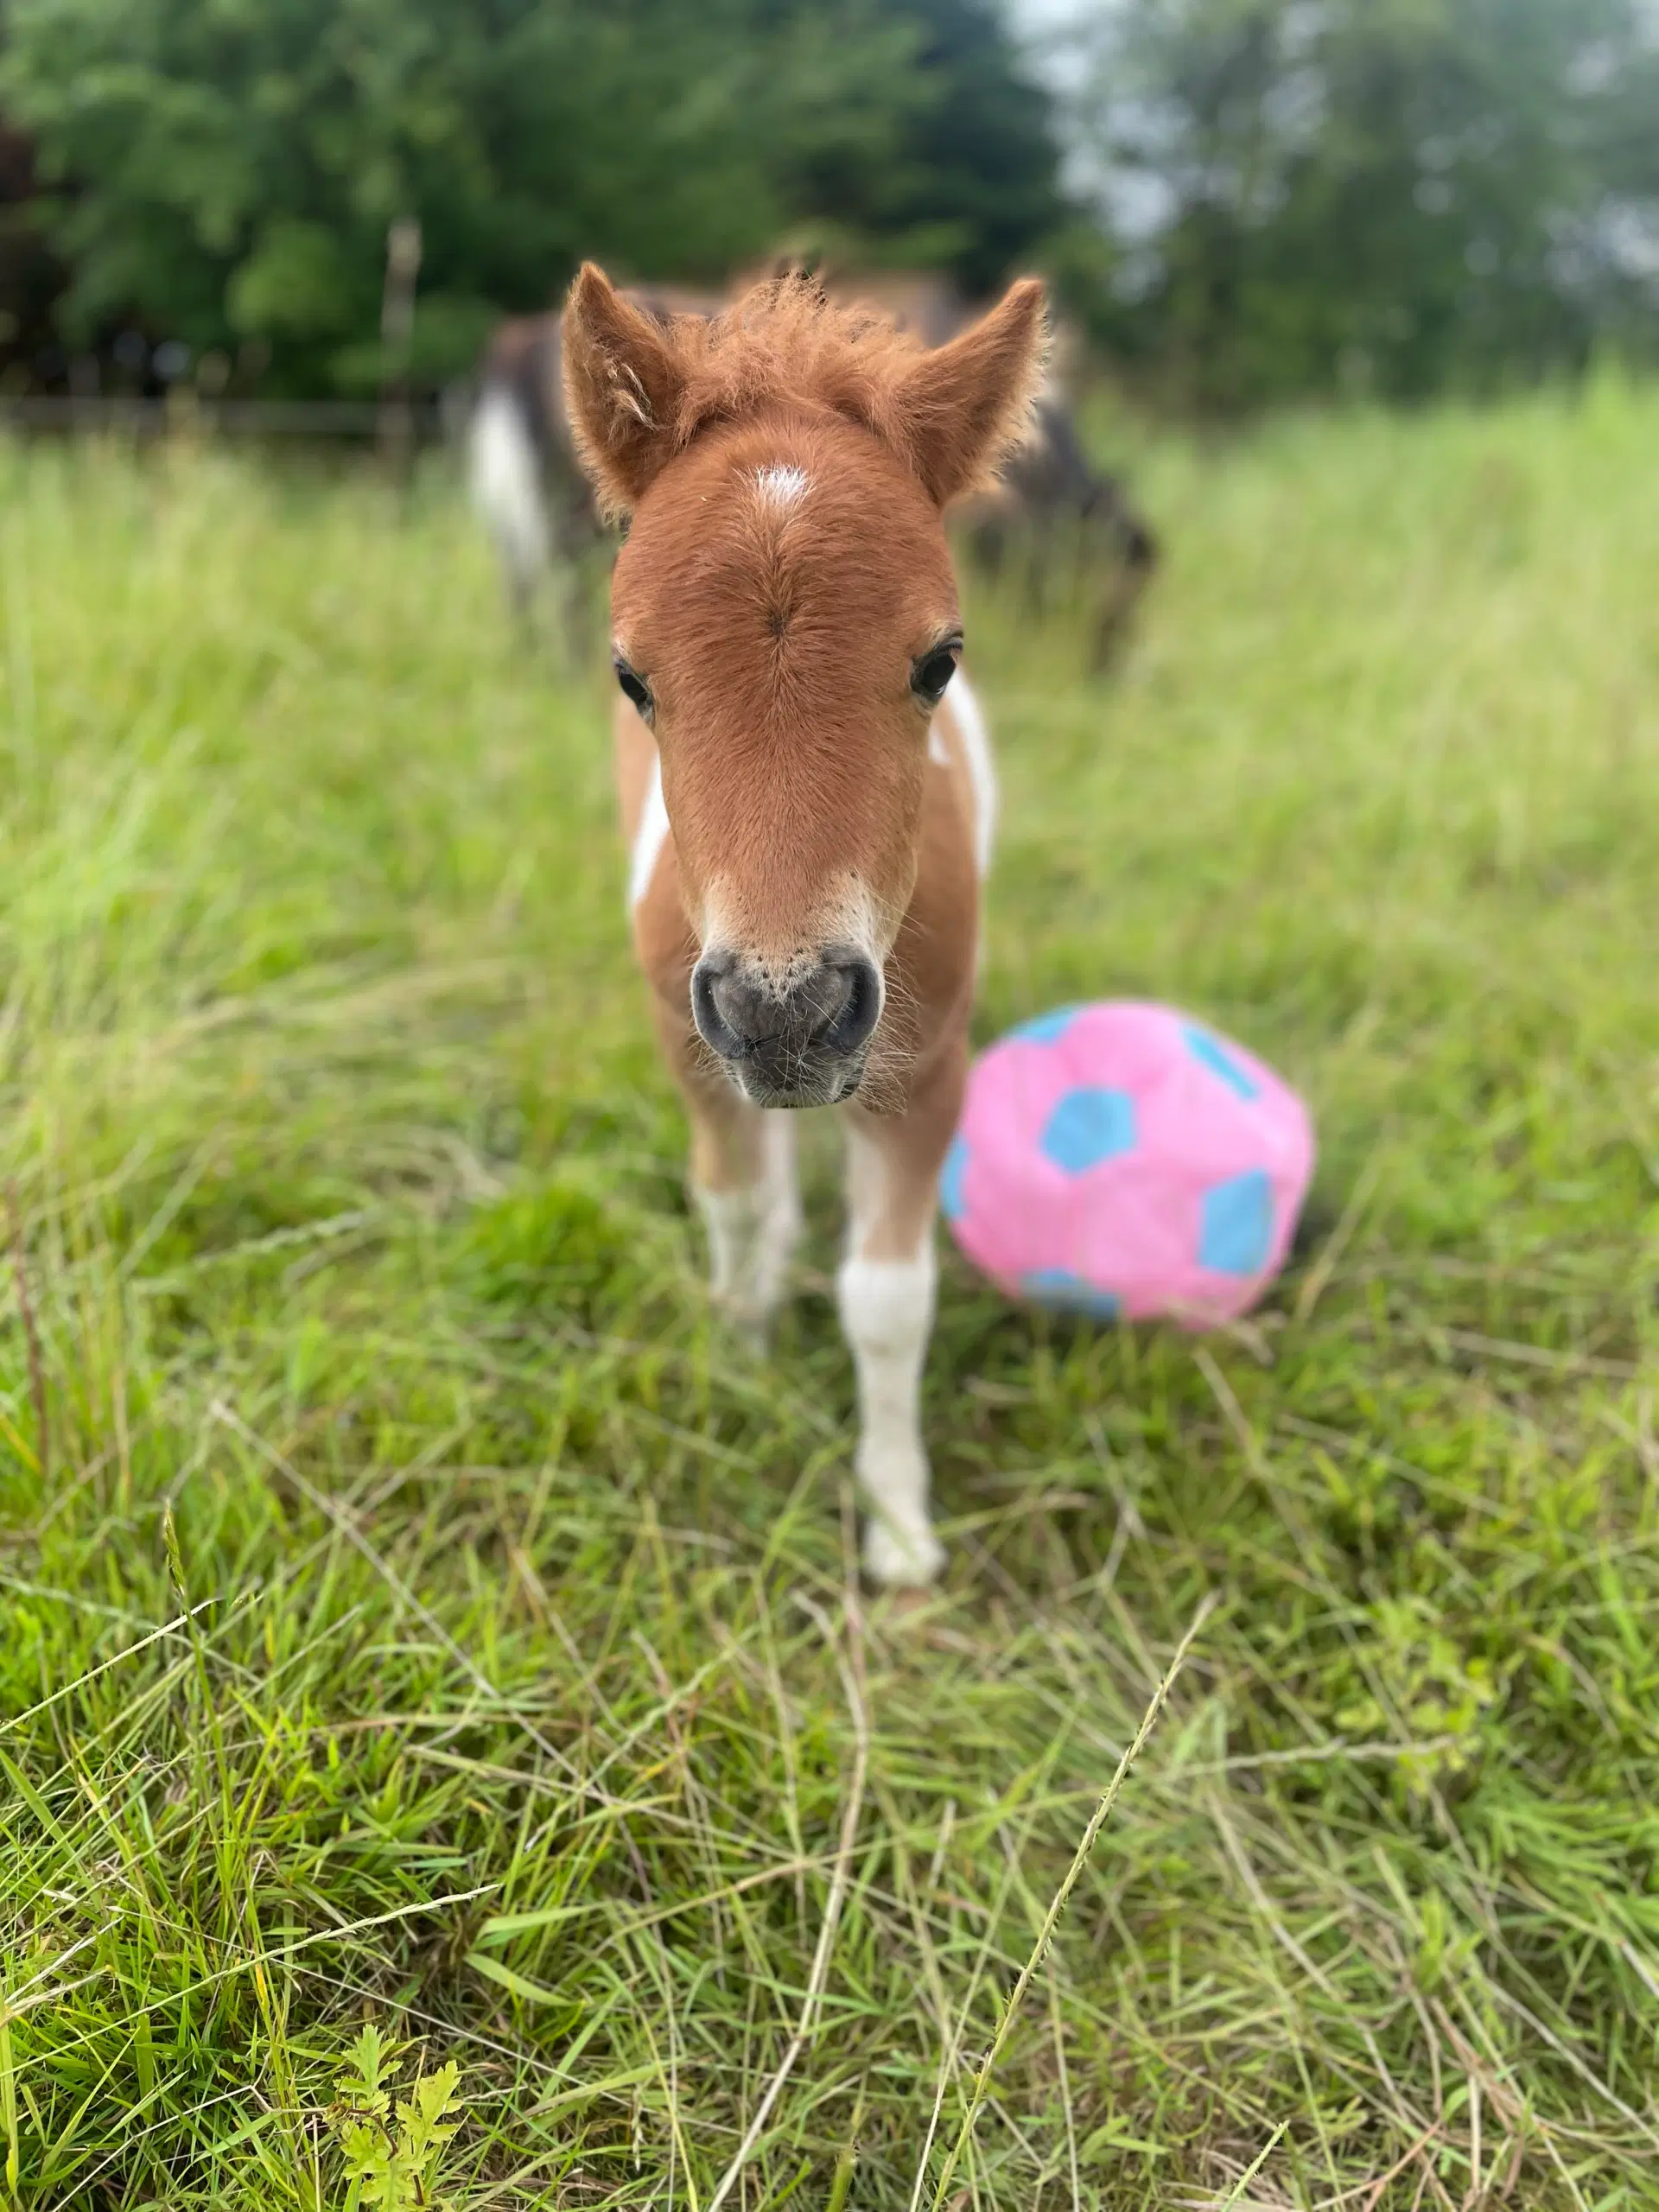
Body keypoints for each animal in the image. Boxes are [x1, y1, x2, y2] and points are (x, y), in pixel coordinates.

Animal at [566, 267, 1044, 1583]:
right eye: (632, 677)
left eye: (940, 660)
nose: (789, 1015)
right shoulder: (693, 1045)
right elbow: (732, 1204)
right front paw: (740, 1360)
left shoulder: (926, 1069)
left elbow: (888, 1301)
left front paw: (900, 1530)